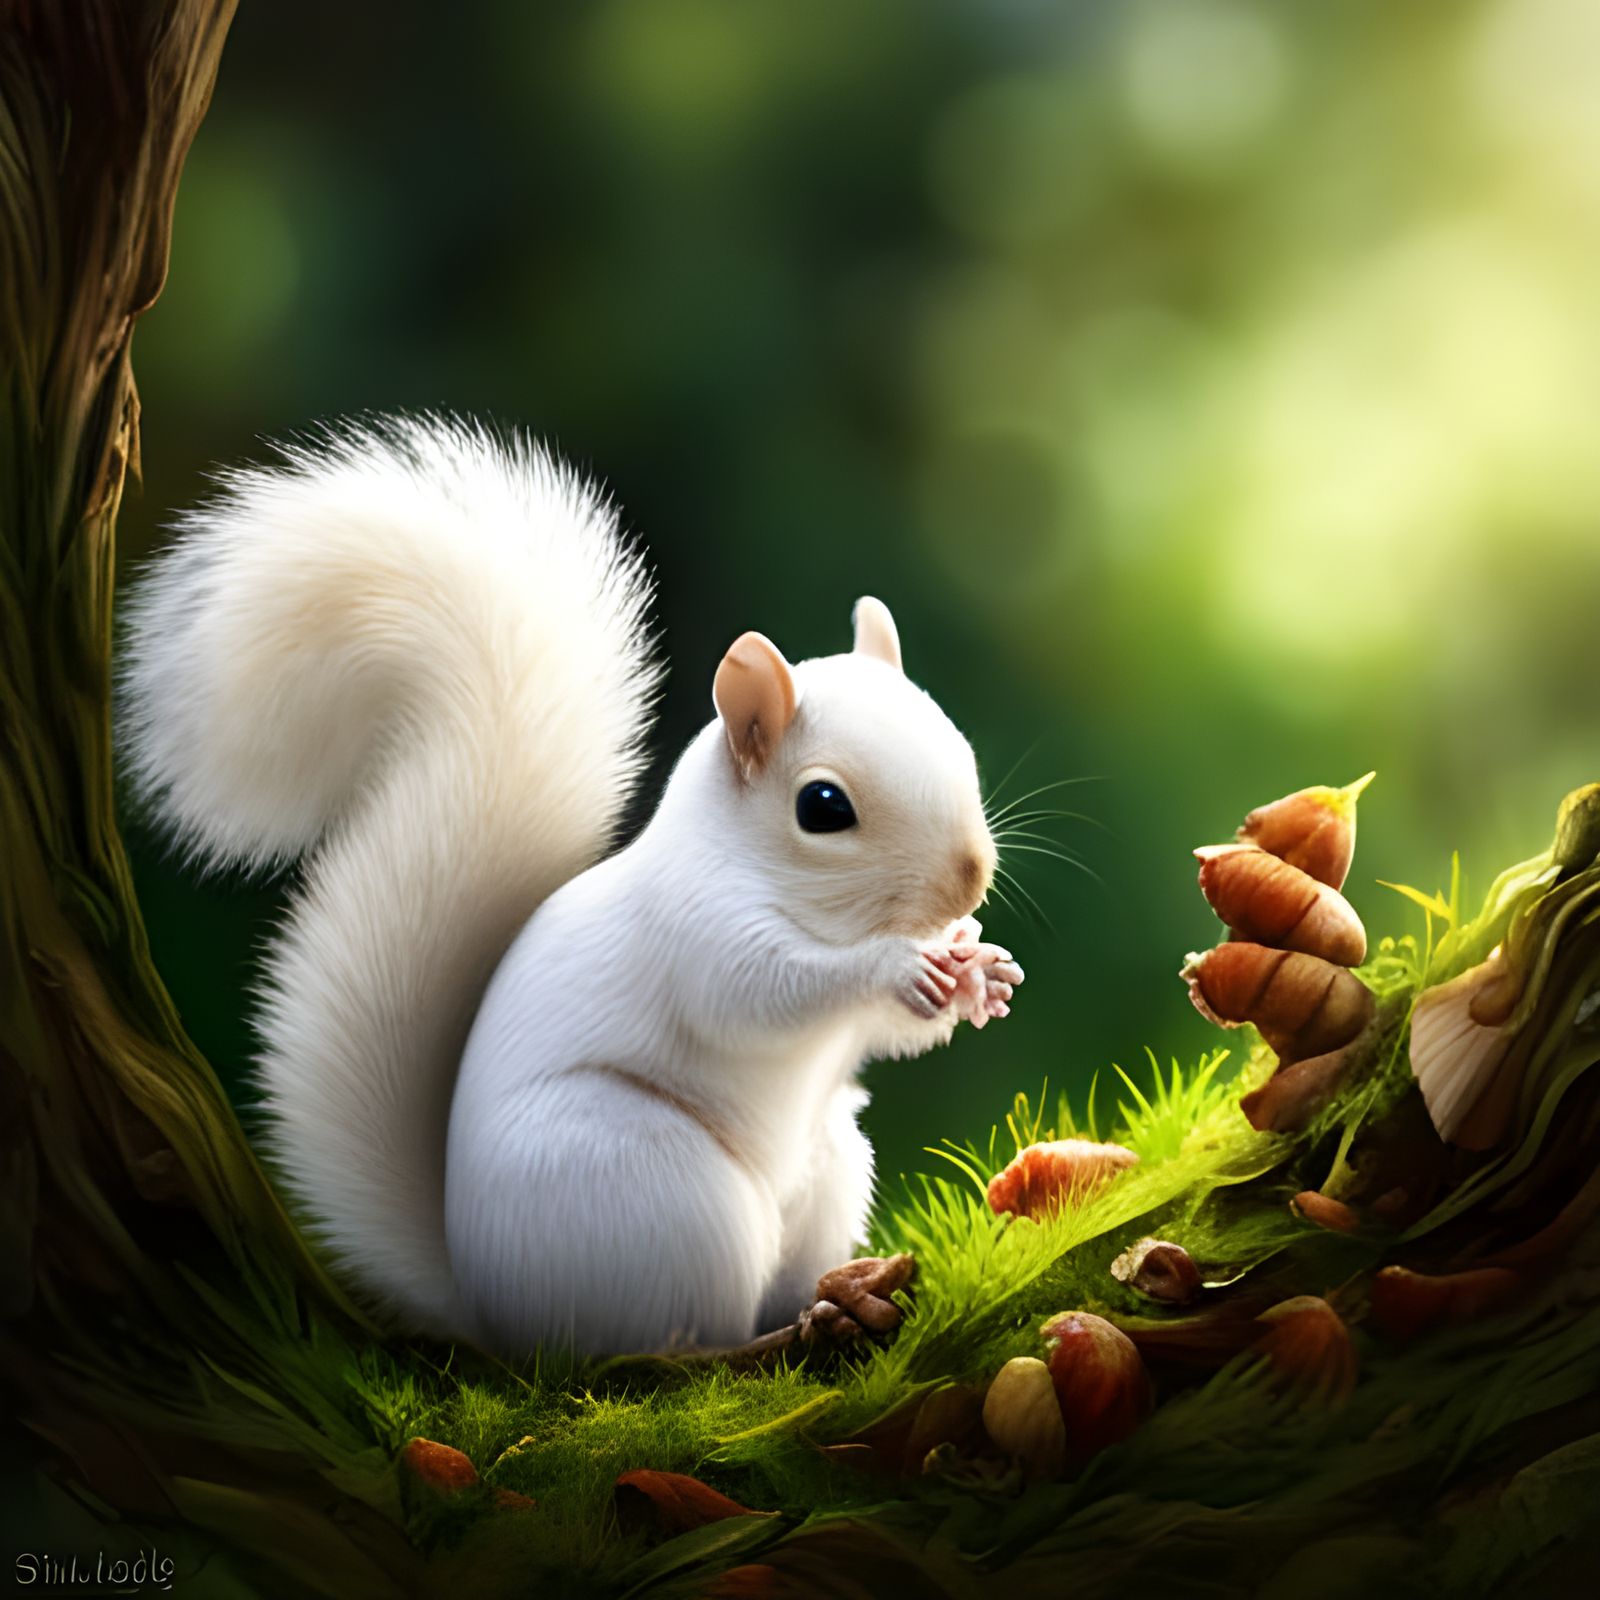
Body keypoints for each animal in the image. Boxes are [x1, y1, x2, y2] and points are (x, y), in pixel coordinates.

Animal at [119, 415, 1024, 1357]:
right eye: (823, 807)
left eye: (955, 742)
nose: (970, 879)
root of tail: (492, 1314)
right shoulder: (693, 928)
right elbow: (757, 994)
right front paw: (897, 966)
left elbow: (879, 1032)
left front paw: (978, 968)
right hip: (648, 1184)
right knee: (663, 1340)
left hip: (826, 1164)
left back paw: (835, 1304)